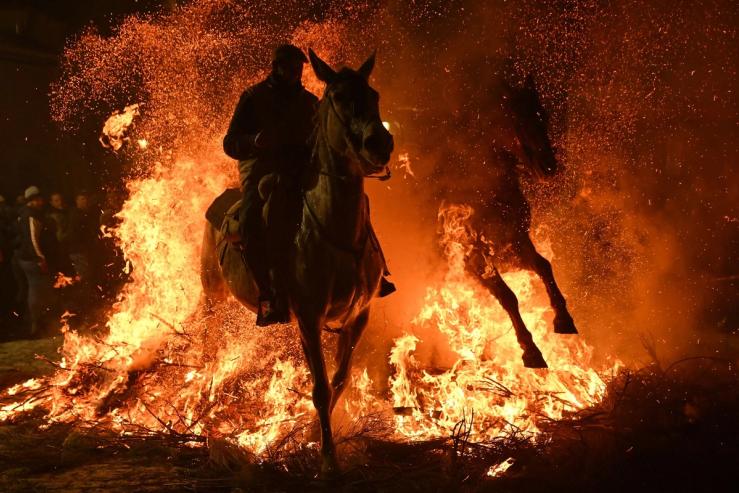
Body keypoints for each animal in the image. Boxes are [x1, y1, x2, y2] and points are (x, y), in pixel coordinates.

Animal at [200, 50, 393, 476]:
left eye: (373, 93)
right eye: (338, 96)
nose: (381, 143)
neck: (335, 228)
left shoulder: (359, 316)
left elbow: (338, 381)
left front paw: (310, 433)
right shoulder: (307, 316)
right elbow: (319, 388)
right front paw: (328, 460)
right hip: (212, 296)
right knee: (207, 343)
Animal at [434, 73, 577, 369]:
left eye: (542, 114)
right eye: (515, 120)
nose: (549, 167)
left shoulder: (515, 240)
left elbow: (543, 265)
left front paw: (563, 318)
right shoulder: (473, 257)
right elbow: (508, 296)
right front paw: (530, 350)